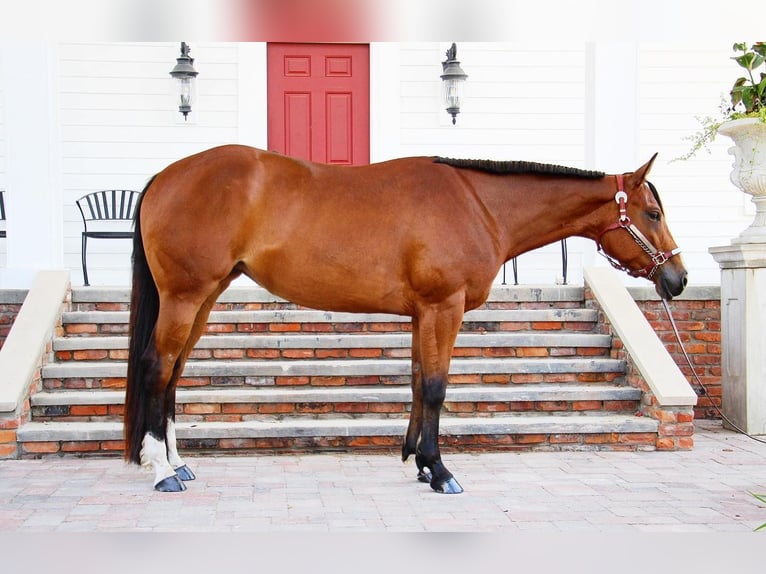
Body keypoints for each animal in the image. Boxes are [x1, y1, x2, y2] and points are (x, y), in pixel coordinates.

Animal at [123, 145, 688, 496]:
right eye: (653, 214)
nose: (678, 278)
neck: (480, 205)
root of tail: (166, 176)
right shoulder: (444, 307)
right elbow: (436, 387)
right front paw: (440, 471)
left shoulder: (423, 313)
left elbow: (418, 383)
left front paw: (417, 461)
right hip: (185, 296)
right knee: (156, 368)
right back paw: (161, 471)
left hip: (204, 297)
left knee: (173, 374)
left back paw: (178, 464)